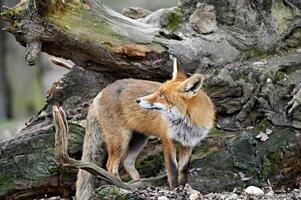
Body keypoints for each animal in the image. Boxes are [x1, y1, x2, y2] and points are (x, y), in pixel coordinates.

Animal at [76, 58, 214, 199]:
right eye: (158, 91)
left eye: (162, 96)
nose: (137, 100)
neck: (186, 123)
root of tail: (100, 93)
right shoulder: (167, 140)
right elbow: (173, 169)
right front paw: (175, 190)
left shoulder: (188, 143)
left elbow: (183, 170)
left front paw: (184, 187)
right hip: (121, 139)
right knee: (110, 166)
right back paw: (121, 186)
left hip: (139, 139)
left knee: (127, 162)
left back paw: (137, 183)